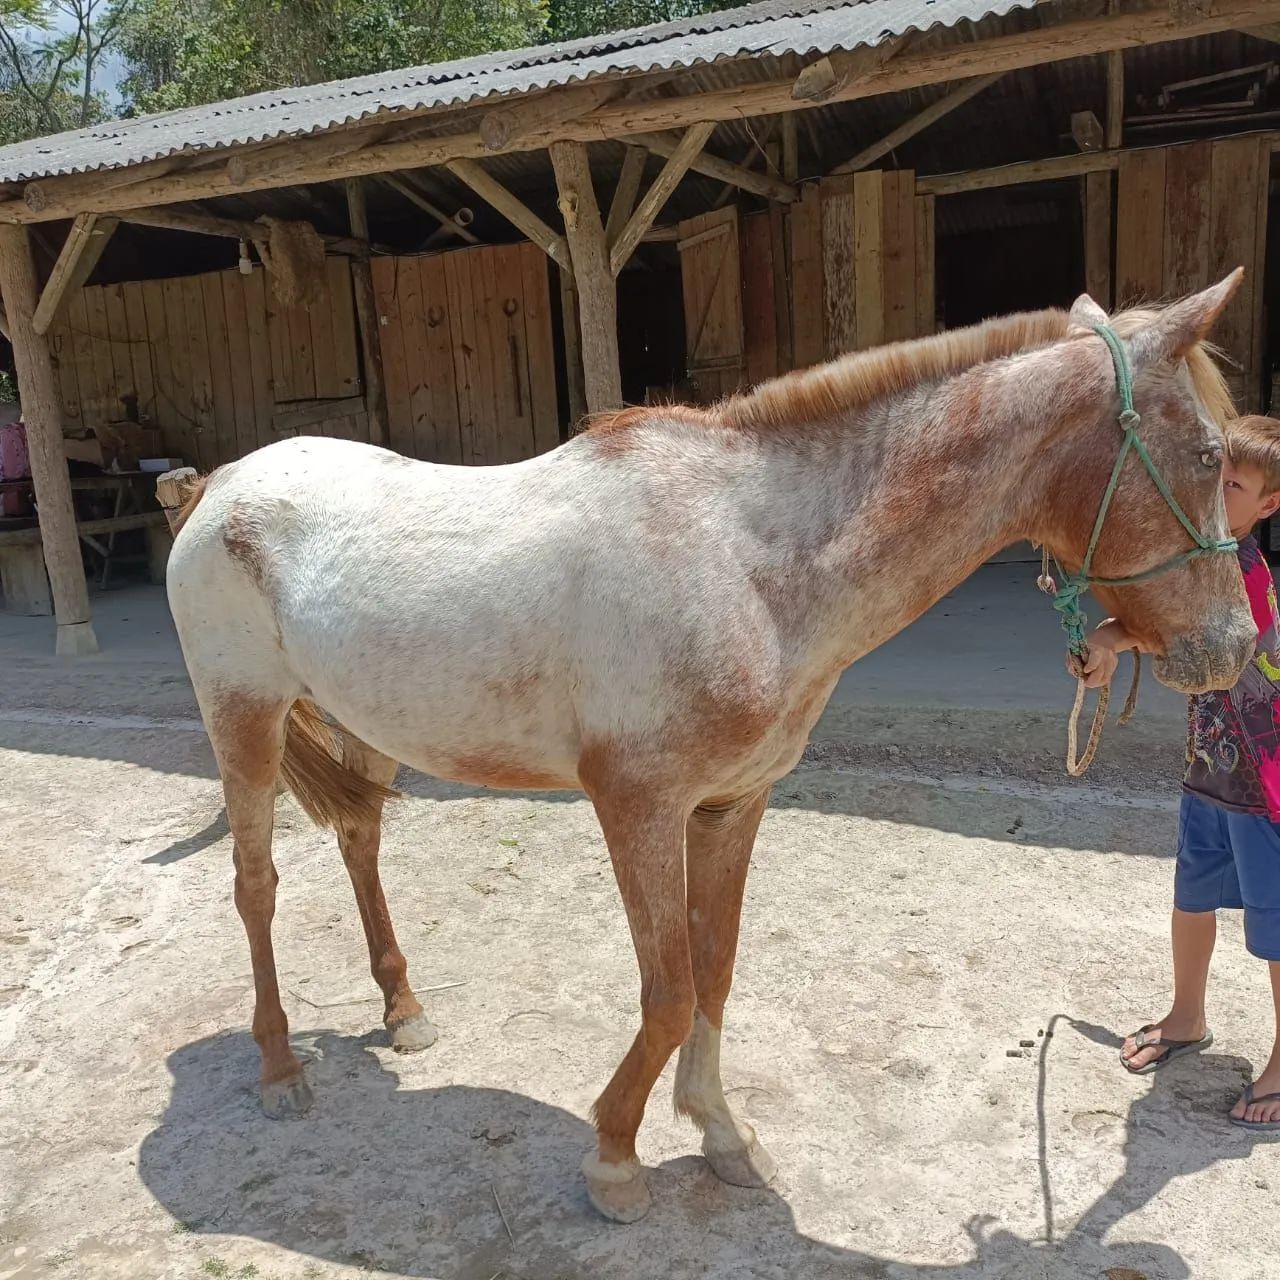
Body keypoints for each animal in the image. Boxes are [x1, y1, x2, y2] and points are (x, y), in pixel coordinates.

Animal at [166, 272, 1254, 1223]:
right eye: (1208, 455)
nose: (1235, 648)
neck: (747, 556)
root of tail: (221, 486)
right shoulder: (637, 805)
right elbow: (667, 988)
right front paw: (613, 1158)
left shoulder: (732, 803)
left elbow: (714, 967)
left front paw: (723, 1135)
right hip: (244, 717)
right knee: (255, 883)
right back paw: (279, 1068)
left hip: (363, 721)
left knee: (360, 841)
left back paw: (402, 1009)